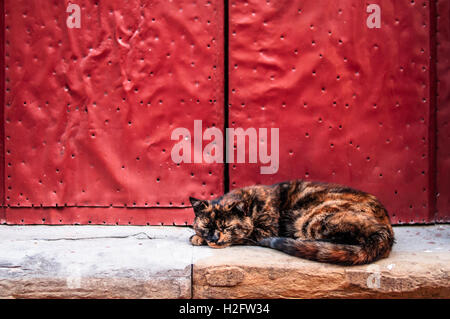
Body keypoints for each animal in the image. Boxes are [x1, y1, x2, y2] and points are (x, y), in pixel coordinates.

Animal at [189, 181, 394, 266]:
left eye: (227, 227)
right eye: (207, 227)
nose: (214, 239)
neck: (251, 204)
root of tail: (386, 230)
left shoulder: (265, 231)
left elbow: (243, 237)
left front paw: (197, 238)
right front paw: (199, 237)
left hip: (313, 220)